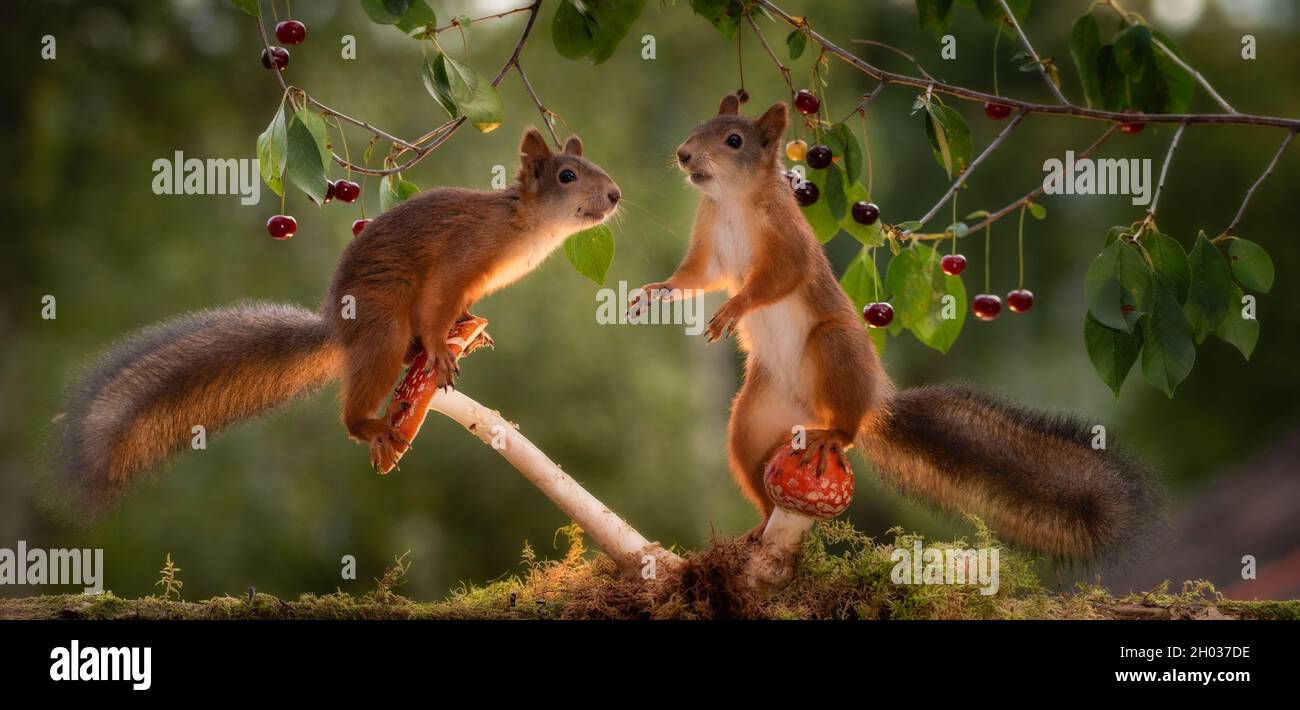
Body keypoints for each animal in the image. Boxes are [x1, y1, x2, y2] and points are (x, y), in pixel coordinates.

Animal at [53, 128, 621, 510]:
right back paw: (372, 422)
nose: (616, 195)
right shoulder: (459, 260)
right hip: (382, 323)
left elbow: (457, 310)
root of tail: (338, 327)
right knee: (364, 391)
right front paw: (442, 349)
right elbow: (438, 304)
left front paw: (470, 331)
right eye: (568, 176)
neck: (525, 227)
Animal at [633, 93, 1163, 561]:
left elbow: (776, 279)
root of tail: (864, 407)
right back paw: (761, 526)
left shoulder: (788, 242)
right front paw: (655, 291)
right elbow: (696, 278)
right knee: (760, 474)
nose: (683, 155)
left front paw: (734, 309)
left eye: (734, 140)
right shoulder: (710, 244)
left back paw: (835, 436)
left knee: (844, 424)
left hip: (835, 347)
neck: (733, 202)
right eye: (698, 128)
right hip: (755, 423)